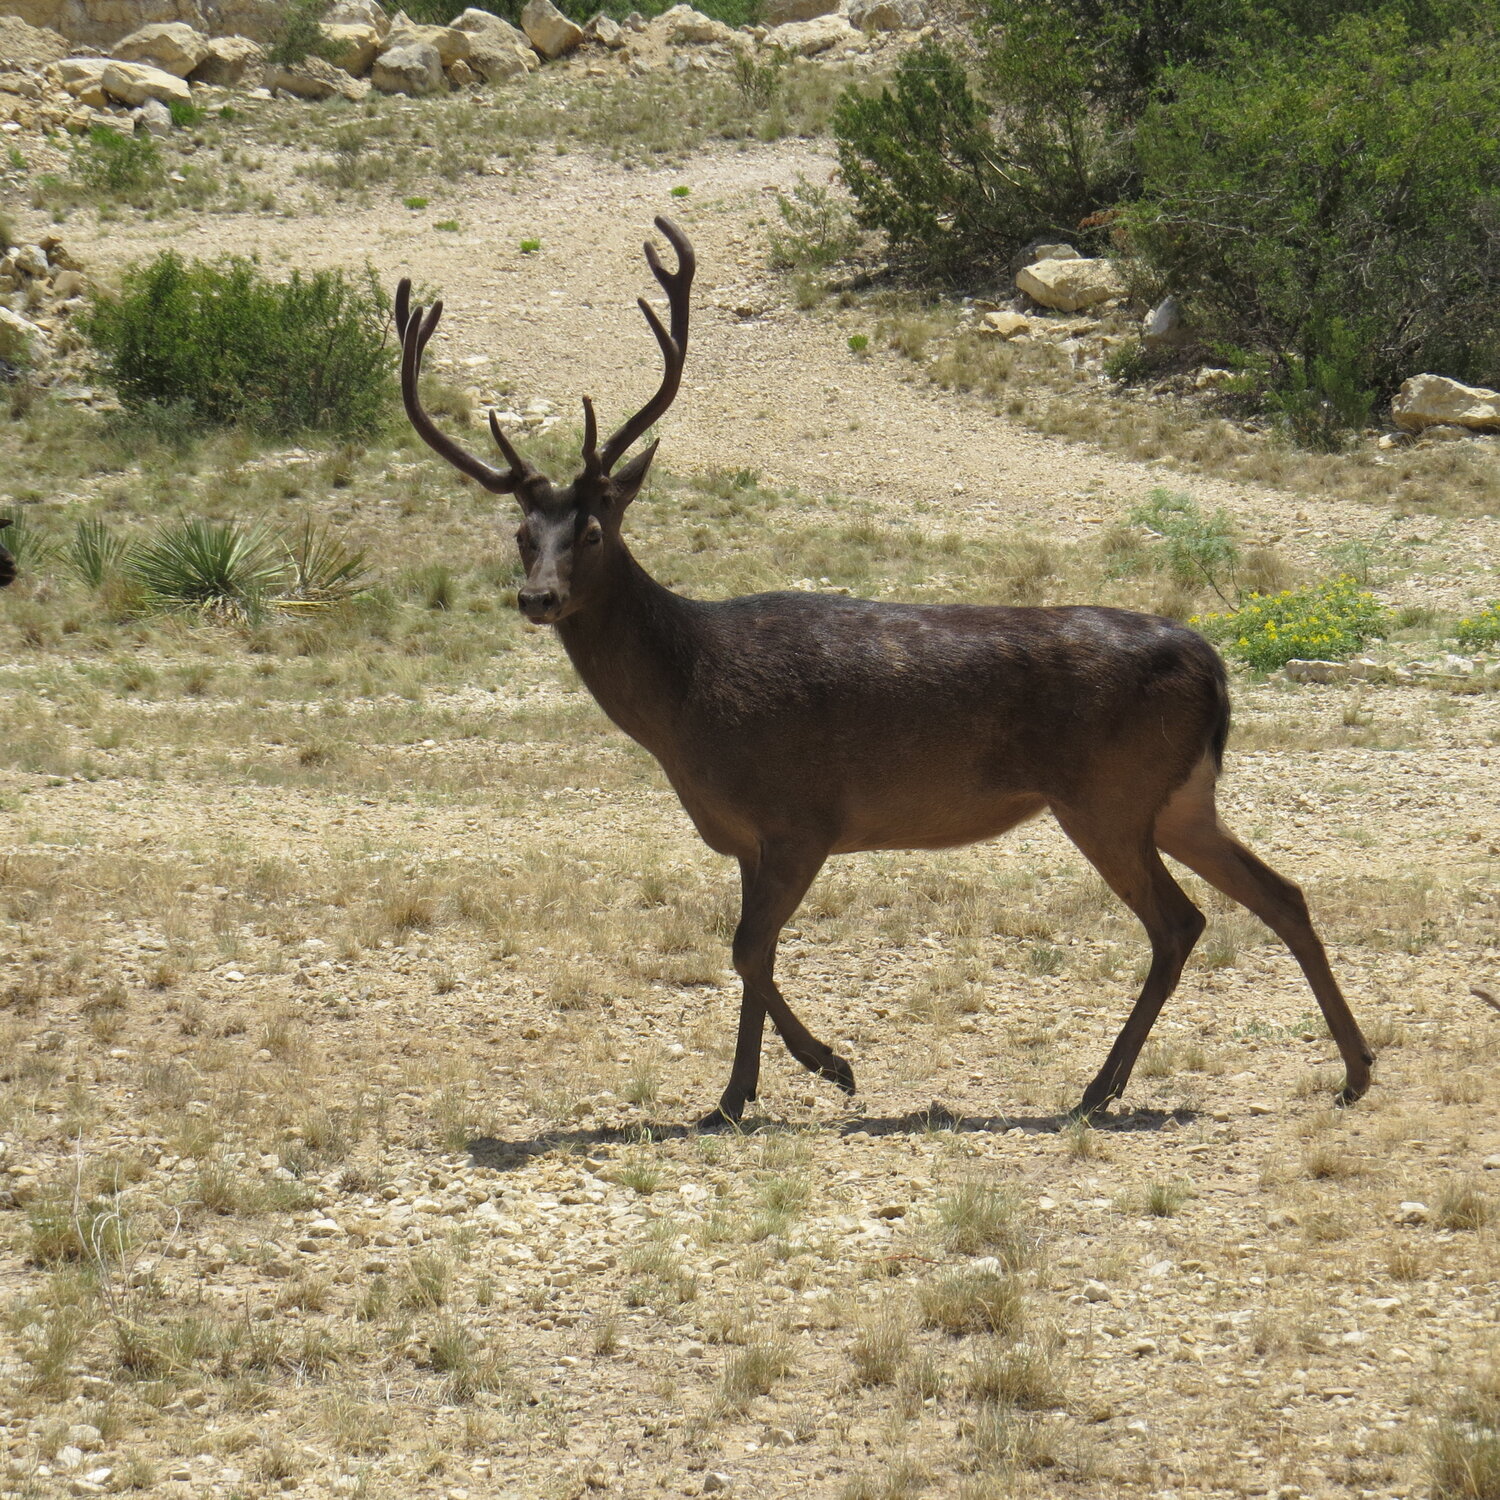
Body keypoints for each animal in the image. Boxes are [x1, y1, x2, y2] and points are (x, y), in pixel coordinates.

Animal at [393, 214, 1374, 1128]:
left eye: (593, 530)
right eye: (521, 533)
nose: (538, 598)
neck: (690, 702)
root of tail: (1213, 666)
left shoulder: (801, 816)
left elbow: (746, 948)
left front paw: (825, 1067)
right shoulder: (748, 835)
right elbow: (750, 951)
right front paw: (737, 1094)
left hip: (1108, 792)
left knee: (1179, 922)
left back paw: (1100, 1088)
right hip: (1176, 796)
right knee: (1280, 893)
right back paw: (1354, 1070)